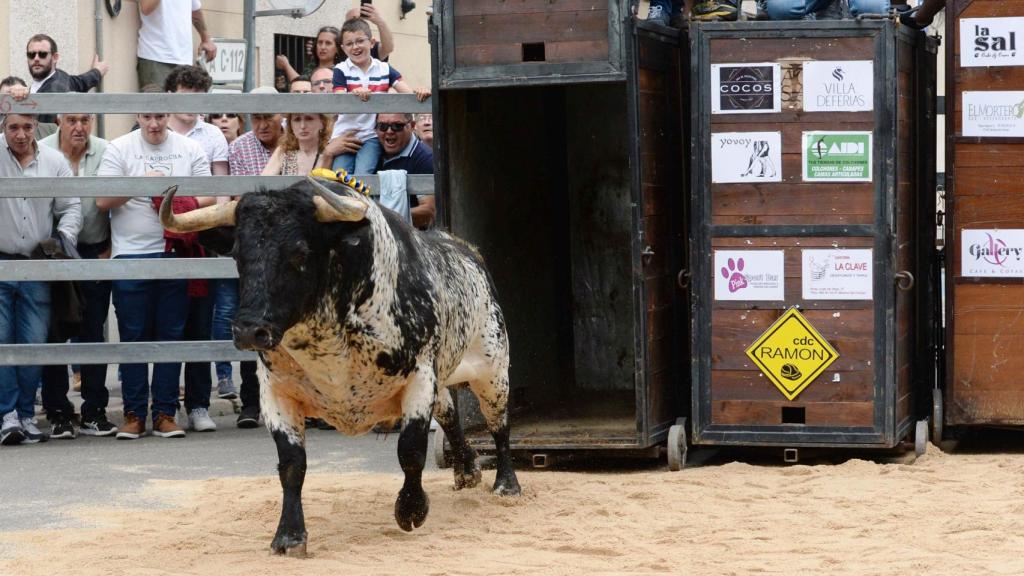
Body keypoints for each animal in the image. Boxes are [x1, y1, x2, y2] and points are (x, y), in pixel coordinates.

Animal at [163, 174, 524, 553]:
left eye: (299, 252)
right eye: (237, 255)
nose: (249, 330)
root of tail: (467, 250)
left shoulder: (420, 378)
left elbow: (411, 449)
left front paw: (411, 510)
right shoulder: (276, 393)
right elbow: (291, 464)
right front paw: (289, 535)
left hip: (493, 371)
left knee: (499, 425)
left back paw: (506, 484)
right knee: (451, 416)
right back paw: (466, 470)